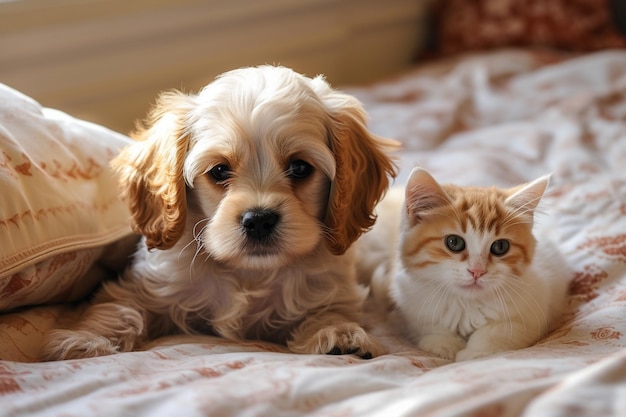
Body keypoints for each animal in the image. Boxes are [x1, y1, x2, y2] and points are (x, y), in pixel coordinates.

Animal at [41, 65, 398, 360]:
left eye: (300, 168)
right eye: (219, 171)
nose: (259, 220)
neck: (248, 272)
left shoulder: (334, 290)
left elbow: (331, 310)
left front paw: (339, 333)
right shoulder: (143, 286)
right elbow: (117, 309)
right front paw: (84, 339)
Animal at [372, 166, 568, 360]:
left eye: (501, 247)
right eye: (454, 242)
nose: (477, 271)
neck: (465, 304)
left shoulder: (531, 313)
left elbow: (497, 332)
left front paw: (474, 353)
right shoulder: (412, 307)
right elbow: (429, 327)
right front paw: (445, 345)